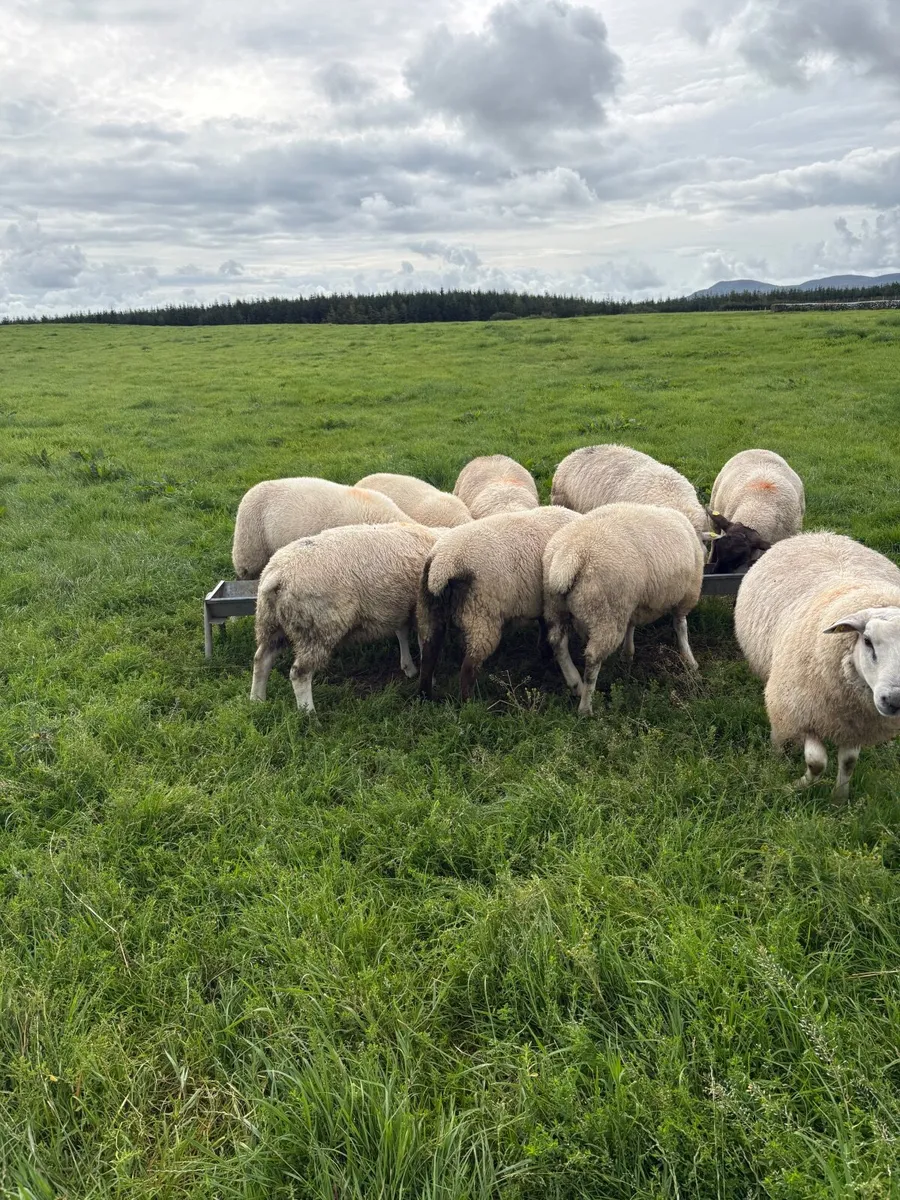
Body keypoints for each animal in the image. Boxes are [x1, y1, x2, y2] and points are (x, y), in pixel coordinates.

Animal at [250, 522, 442, 712]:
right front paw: (429, 677)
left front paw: (409, 667)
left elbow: (402, 633)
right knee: (299, 673)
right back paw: (308, 714)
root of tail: (276, 575)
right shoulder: (421, 610)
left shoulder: (401, 607)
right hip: (317, 627)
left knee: (261, 660)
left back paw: (257, 701)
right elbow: (423, 644)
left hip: (273, 622)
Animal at [417, 506, 580, 700]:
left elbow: (544, 626)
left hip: (430, 611)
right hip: (481, 615)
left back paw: (425, 696)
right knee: (468, 667)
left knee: (428, 656)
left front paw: (544, 652)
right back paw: (469, 702)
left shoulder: (543, 602)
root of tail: (443, 565)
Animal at [543, 503, 705, 715]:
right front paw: (690, 660)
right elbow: (681, 626)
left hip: (557, 606)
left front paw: (628, 653)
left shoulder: (633, 603)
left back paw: (574, 682)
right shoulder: (686, 594)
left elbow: (631, 625)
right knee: (593, 659)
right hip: (607, 612)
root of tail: (570, 558)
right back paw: (586, 707)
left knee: (558, 642)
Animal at [734, 532, 900, 798]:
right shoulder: (802, 712)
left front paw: (839, 797)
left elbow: (849, 762)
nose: (894, 699)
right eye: (867, 641)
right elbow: (816, 762)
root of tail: (818, 533)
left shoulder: (855, 722)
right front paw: (795, 786)